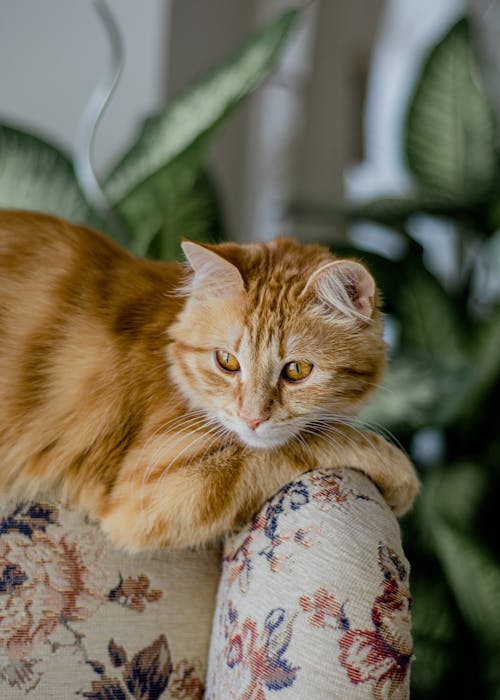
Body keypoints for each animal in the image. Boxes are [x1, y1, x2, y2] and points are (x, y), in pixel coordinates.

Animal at [0, 211, 418, 548]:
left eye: (297, 370)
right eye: (227, 361)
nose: (252, 419)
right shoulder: (147, 495)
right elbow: (308, 442)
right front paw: (397, 468)